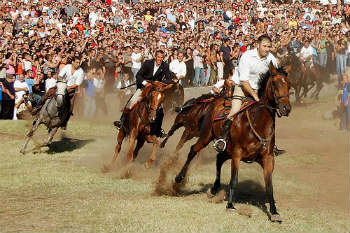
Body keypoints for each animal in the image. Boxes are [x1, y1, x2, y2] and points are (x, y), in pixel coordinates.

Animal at [175, 63, 292, 222]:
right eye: (274, 84)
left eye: (289, 84)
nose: (286, 108)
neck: (258, 122)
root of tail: (216, 101)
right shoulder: (237, 154)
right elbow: (234, 180)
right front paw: (230, 205)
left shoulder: (268, 158)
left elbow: (269, 185)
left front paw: (274, 212)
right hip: (206, 136)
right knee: (193, 149)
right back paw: (179, 177)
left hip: (226, 149)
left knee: (219, 158)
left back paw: (214, 189)